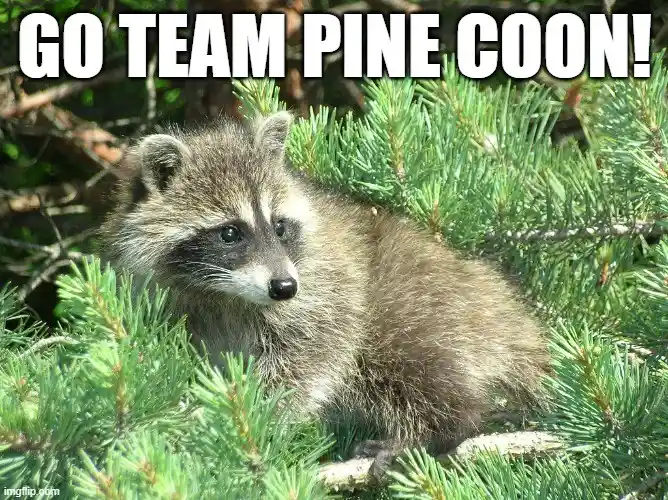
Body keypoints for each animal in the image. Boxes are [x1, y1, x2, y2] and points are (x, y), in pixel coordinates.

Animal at [100, 111, 551, 480]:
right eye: (230, 233)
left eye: (279, 226)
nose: (284, 287)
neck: (223, 294)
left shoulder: (325, 286)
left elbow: (308, 357)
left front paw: (253, 417)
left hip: (418, 301)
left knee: (408, 363)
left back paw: (436, 429)